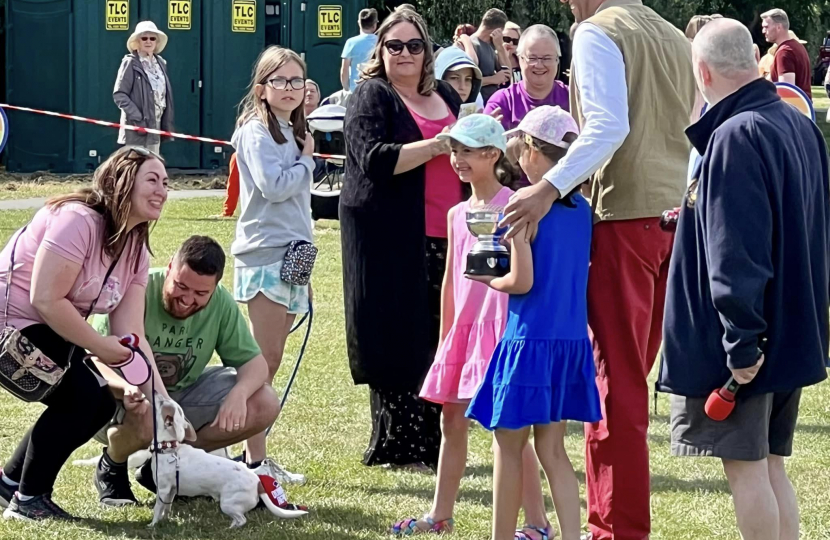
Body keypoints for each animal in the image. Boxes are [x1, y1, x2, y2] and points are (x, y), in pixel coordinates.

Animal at [150, 392, 308, 528]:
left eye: (161, 402)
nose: (156, 391)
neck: (169, 448)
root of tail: (258, 482)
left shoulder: (162, 490)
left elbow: (158, 508)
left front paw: (153, 525)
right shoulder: (171, 490)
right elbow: (166, 507)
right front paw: (165, 519)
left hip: (227, 504)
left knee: (241, 520)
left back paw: (230, 528)